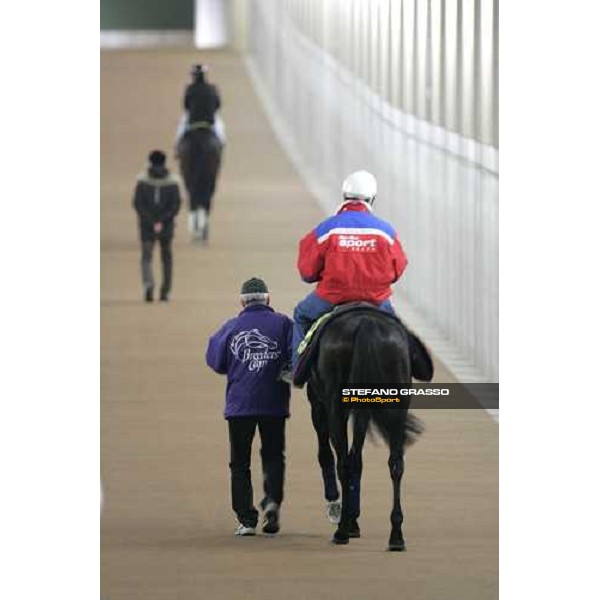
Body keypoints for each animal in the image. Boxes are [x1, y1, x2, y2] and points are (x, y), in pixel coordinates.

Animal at [308, 312, 428, 552]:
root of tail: (366, 324)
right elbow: (358, 458)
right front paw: (353, 519)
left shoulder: (318, 402)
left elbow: (327, 453)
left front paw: (338, 507)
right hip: (397, 399)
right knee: (395, 464)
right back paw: (396, 536)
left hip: (335, 402)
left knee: (343, 463)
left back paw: (341, 531)